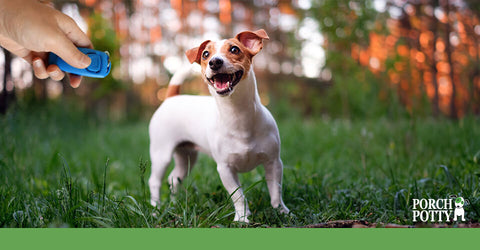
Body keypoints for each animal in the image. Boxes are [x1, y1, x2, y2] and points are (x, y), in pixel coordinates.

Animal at [147, 29, 288, 223]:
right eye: (206, 54)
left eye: (235, 49)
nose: (214, 62)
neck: (238, 115)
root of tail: (171, 97)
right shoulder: (225, 169)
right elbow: (238, 196)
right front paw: (242, 218)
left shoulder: (273, 162)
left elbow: (275, 190)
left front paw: (280, 211)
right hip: (161, 154)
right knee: (154, 181)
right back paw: (155, 209)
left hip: (187, 156)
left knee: (174, 178)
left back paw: (174, 204)